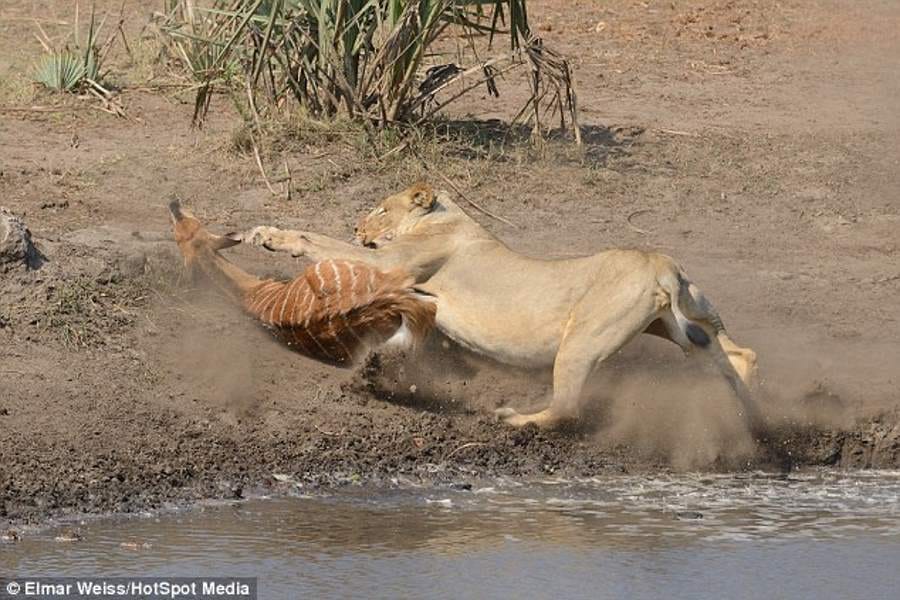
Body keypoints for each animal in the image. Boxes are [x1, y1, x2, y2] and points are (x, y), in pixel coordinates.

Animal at [238, 183, 761, 431]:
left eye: (382, 208)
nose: (357, 224)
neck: (446, 217)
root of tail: (658, 263)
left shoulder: (394, 264)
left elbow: (320, 242)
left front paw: (272, 235)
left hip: (583, 340)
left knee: (567, 408)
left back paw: (515, 419)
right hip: (676, 320)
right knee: (735, 352)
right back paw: (750, 410)